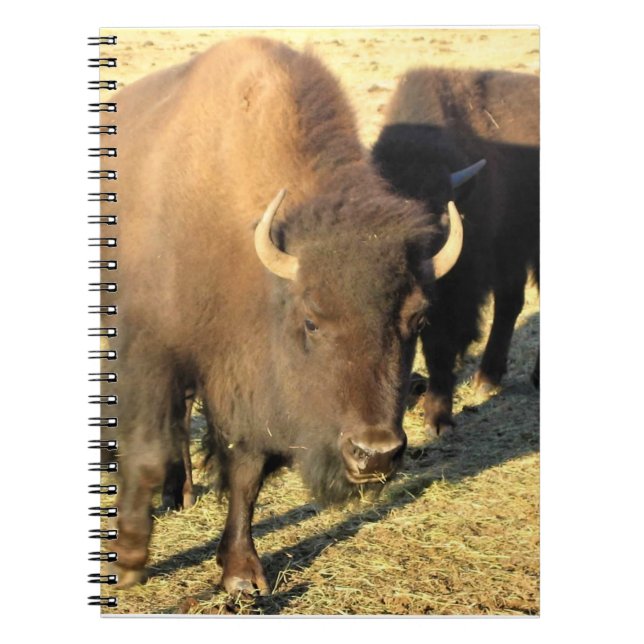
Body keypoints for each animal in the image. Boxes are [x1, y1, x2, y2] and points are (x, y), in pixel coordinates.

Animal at [101, 38, 464, 595]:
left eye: (417, 320)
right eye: (312, 321)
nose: (375, 453)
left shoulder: (242, 381)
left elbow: (246, 472)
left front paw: (241, 573)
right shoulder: (150, 353)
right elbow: (144, 452)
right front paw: (127, 562)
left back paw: (181, 493)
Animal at [372, 67, 539, 438]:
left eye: (439, 211)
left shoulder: (455, 292)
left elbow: (440, 345)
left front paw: (439, 420)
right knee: (510, 303)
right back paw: (488, 378)